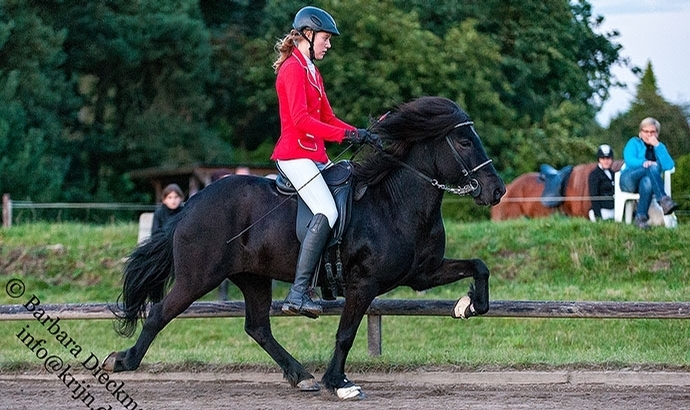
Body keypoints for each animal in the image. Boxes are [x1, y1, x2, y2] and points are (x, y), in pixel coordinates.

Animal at [106, 95, 506, 398]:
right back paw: (123, 360)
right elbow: (345, 333)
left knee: (258, 328)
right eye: (465, 142)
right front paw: (339, 382)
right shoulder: (364, 284)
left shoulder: (421, 273)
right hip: (198, 277)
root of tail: (192, 204)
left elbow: (479, 266)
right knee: (160, 313)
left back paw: (301, 376)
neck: (395, 202)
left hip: (252, 277)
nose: (497, 190)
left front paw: (469, 305)